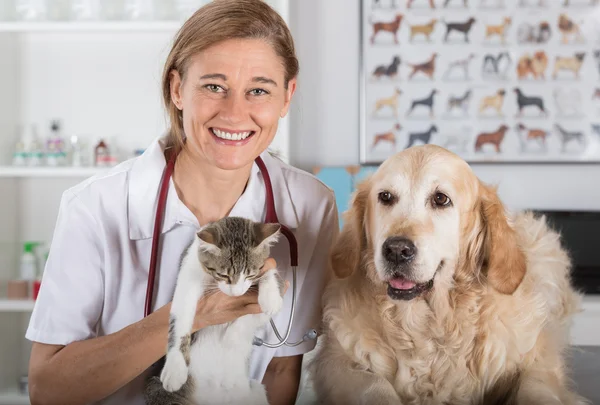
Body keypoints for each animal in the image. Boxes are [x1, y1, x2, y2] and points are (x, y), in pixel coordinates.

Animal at [145, 216, 286, 404]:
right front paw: (175, 367)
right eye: (224, 275)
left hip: (255, 391)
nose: (237, 292)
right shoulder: (189, 270)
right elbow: (181, 315)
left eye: (250, 274)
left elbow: (260, 310)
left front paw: (270, 298)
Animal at [310, 144, 584, 404]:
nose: (396, 250)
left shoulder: (538, 358)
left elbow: (537, 387)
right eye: (385, 196)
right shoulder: (336, 363)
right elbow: (375, 386)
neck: (431, 324)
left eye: (441, 199)